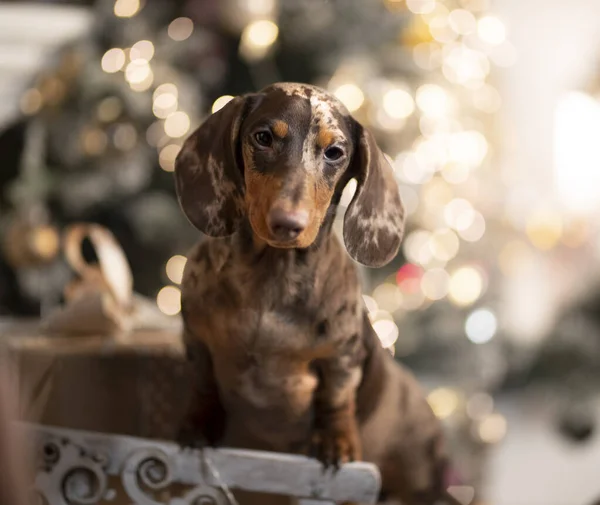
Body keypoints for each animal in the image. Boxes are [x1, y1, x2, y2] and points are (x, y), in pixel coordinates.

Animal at [173, 83, 454, 504]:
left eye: (334, 152)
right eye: (263, 137)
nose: (287, 224)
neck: (271, 276)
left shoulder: (343, 356)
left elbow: (336, 398)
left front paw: (336, 442)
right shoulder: (196, 339)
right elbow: (203, 383)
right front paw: (195, 425)